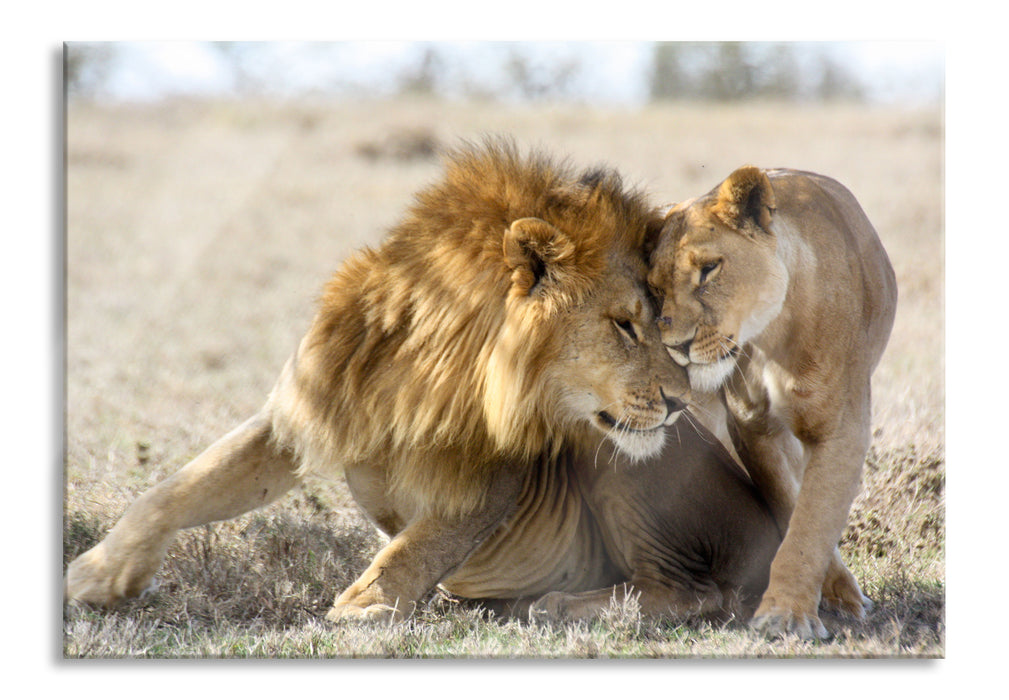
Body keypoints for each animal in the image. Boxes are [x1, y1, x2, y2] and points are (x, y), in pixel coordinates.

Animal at [65, 142, 778, 625]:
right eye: (625, 325)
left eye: (659, 321)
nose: (682, 402)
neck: (425, 368)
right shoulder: (302, 411)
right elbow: (180, 486)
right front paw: (99, 576)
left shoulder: (494, 477)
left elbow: (416, 545)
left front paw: (363, 607)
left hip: (616, 463)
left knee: (698, 591)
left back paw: (560, 603)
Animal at [649, 167, 895, 637]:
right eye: (654, 289)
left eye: (708, 270)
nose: (675, 346)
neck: (770, 337)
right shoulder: (751, 426)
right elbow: (791, 505)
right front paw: (809, 601)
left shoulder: (841, 428)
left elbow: (811, 522)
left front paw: (787, 617)